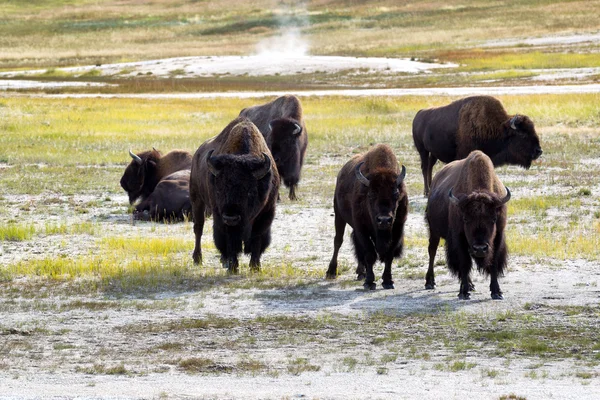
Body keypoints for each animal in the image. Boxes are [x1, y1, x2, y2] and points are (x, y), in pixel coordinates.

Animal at [189, 115, 280, 272]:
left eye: (250, 191)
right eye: (219, 189)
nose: (231, 217)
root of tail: (197, 155)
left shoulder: (266, 213)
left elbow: (257, 238)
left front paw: (255, 267)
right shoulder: (221, 216)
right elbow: (230, 240)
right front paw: (233, 267)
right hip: (197, 199)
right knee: (198, 228)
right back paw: (198, 259)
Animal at [326, 145, 410, 290]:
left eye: (396, 194)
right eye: (371, 195)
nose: (384, 220)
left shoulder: (397, 229)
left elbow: (389, 255)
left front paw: (388, 281)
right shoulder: (362, 229)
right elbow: (369, 254)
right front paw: (370, 282)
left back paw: (361, 272)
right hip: (338, 215)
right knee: (338, 241)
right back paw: (331, 272)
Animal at [412, 97, 544, 197]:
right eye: (522, 134)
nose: (538, 151)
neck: (498, 128)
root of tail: (418, 114)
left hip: (433, 153)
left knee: (430, 167)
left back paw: (430, 190)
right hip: (422, 150)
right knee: (424, 167)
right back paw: (426, 192)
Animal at [426, 151, 510, 300]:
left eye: (493, 219)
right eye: (465, 219)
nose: (480, 248)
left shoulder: (498, 235)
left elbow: (493, 262)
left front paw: (496, 292)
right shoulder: (459, 237)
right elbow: (464, 263)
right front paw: (463, 293)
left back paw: (471, 285)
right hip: (434, 231)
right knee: (432, 251)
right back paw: (430, 282)